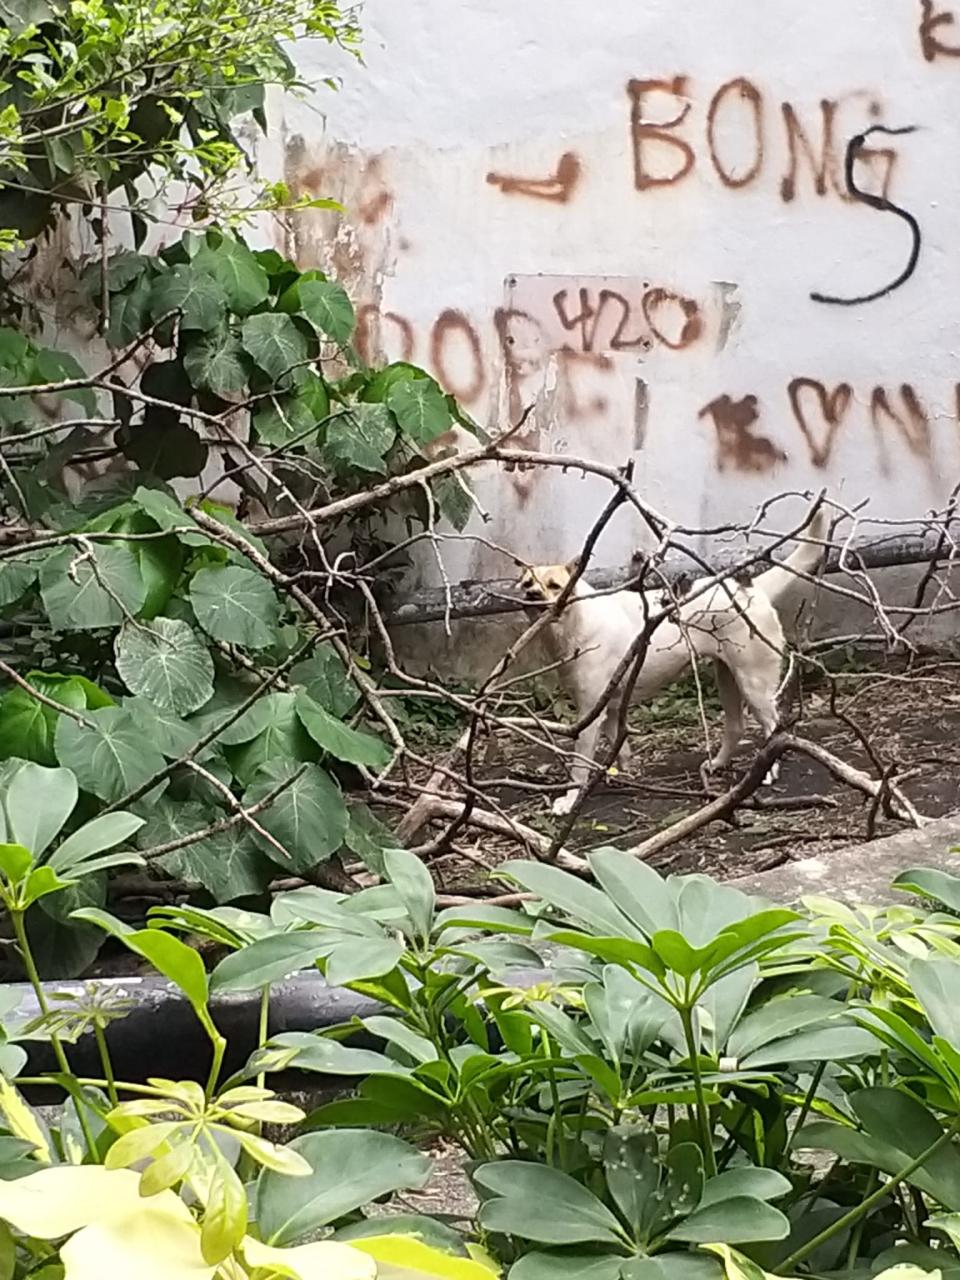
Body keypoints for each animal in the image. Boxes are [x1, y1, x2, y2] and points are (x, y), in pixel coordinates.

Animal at [519, 506, 829, 814]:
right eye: (526, 583)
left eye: (555, 585)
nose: (531, 594)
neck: (575, 619)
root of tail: (750, 588)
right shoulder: (609, 709)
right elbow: (621, 748)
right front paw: (625, 774)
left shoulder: (588, 716)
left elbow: (579, 767)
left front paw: (570, 800)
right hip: (727, 677)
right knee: (736, 727)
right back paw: (718, 765)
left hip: (753, 685)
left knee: (774, 730)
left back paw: (765, 773)